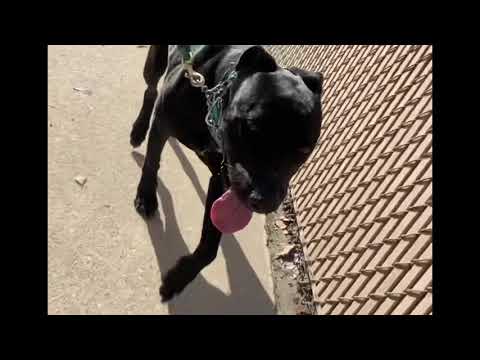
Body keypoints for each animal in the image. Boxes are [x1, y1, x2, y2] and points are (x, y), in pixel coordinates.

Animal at [130, 45, 322, 304]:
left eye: (304, 150)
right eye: (252, 128)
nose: (263, 201)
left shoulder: (222, 179)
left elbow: (210, 244)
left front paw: (180, 277)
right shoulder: (162, 124)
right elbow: (152, 163)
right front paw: (146, 195)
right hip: (156, 63)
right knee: (150, 88)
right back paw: (139, 129)